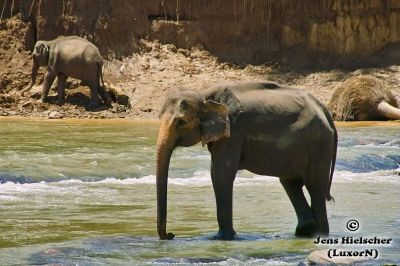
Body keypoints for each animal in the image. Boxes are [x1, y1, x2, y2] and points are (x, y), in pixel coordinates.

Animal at [156, 81, 338, 241]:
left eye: (180, 122)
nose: (171, 235)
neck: (204, 93)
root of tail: (325, 110)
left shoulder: (234, 130)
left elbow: (221, 173)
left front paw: (221, 238)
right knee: (290, 183)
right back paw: (304, 231)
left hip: (318, 145)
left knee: (315, 186)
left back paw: (318, 235)